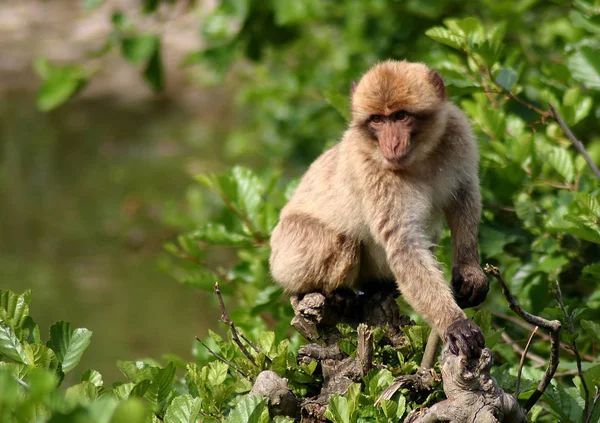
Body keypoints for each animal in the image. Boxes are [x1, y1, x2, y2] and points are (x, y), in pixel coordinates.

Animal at [270, 59, 490, 358]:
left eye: (400, 116)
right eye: (377, 120)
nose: (392, 144)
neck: (417, 158)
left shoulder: (457, 132)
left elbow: (464, 195)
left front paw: (469, 270)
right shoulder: (374, 172)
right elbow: (404, 246)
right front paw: (453, 322)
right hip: (288, 253)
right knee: (340, 240)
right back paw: (334, 295)